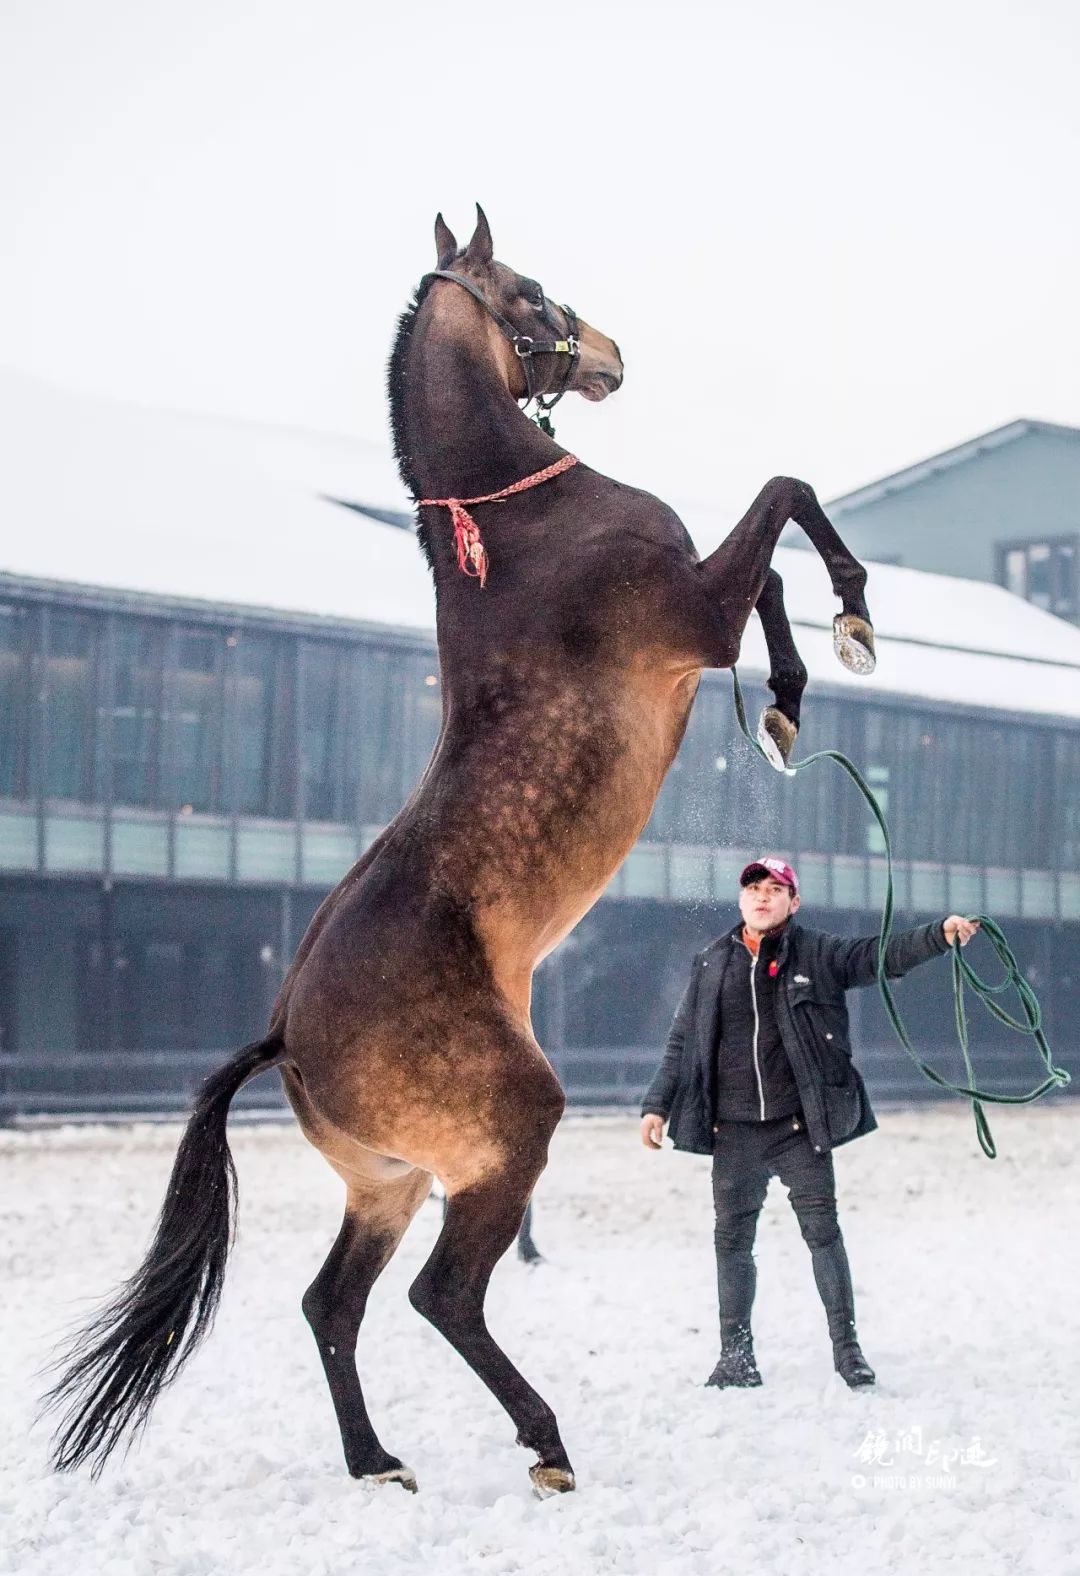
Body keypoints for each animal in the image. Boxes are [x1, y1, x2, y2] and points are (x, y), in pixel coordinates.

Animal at [48, 203, 876, 1494]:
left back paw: (376, 1459)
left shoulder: (703, 617)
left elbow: (773, 570)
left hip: (388, 1180)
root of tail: (284, 1032)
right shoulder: (692, 612)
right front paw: (850, 624)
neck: (527, 522)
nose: (611, 355)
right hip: (504, 1135)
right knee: (442, 1295)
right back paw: (544, 1443)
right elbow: (784, 503)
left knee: (331, 1304)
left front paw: (789, 699)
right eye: (528, 287)